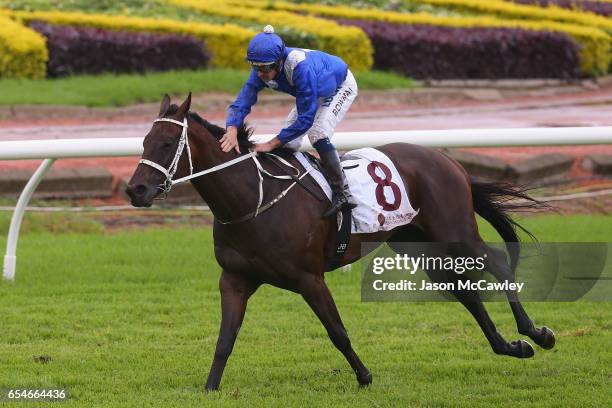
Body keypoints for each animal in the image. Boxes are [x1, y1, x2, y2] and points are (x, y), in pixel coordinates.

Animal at [124, 94, 556, 390]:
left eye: (167, 144)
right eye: (143, 141)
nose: (135, 190)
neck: (254, 199)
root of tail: (449, 160)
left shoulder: (309, 278)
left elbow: (337, 331)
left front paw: (364, 376)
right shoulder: (234, 279)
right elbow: (224, 340)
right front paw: (211, 387)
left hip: (455, 233)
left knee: (499, 263)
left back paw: (536, 334)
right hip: (419, 244)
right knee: (465, 293)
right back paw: (511, 346)